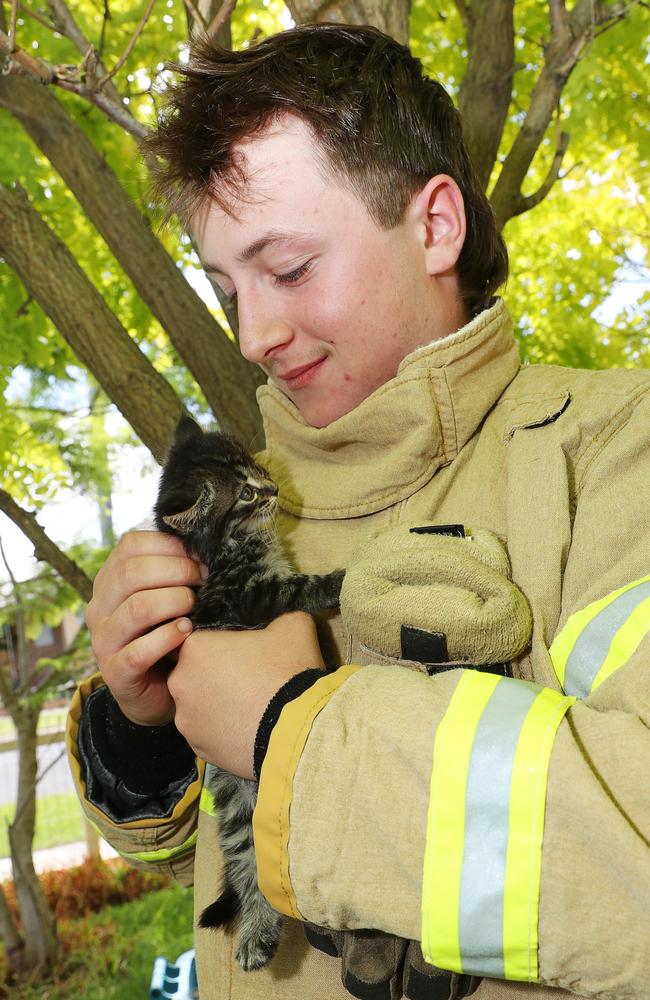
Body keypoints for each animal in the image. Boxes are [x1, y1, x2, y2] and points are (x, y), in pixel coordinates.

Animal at [154, 414, 344, 968]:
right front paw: (344, 577)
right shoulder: (254, 596)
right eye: (243, 494)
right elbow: (304, 587)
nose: (274, 488)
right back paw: (258, 935)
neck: (232, 549)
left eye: (254, 468)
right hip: (235, 806)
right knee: (248, 870)